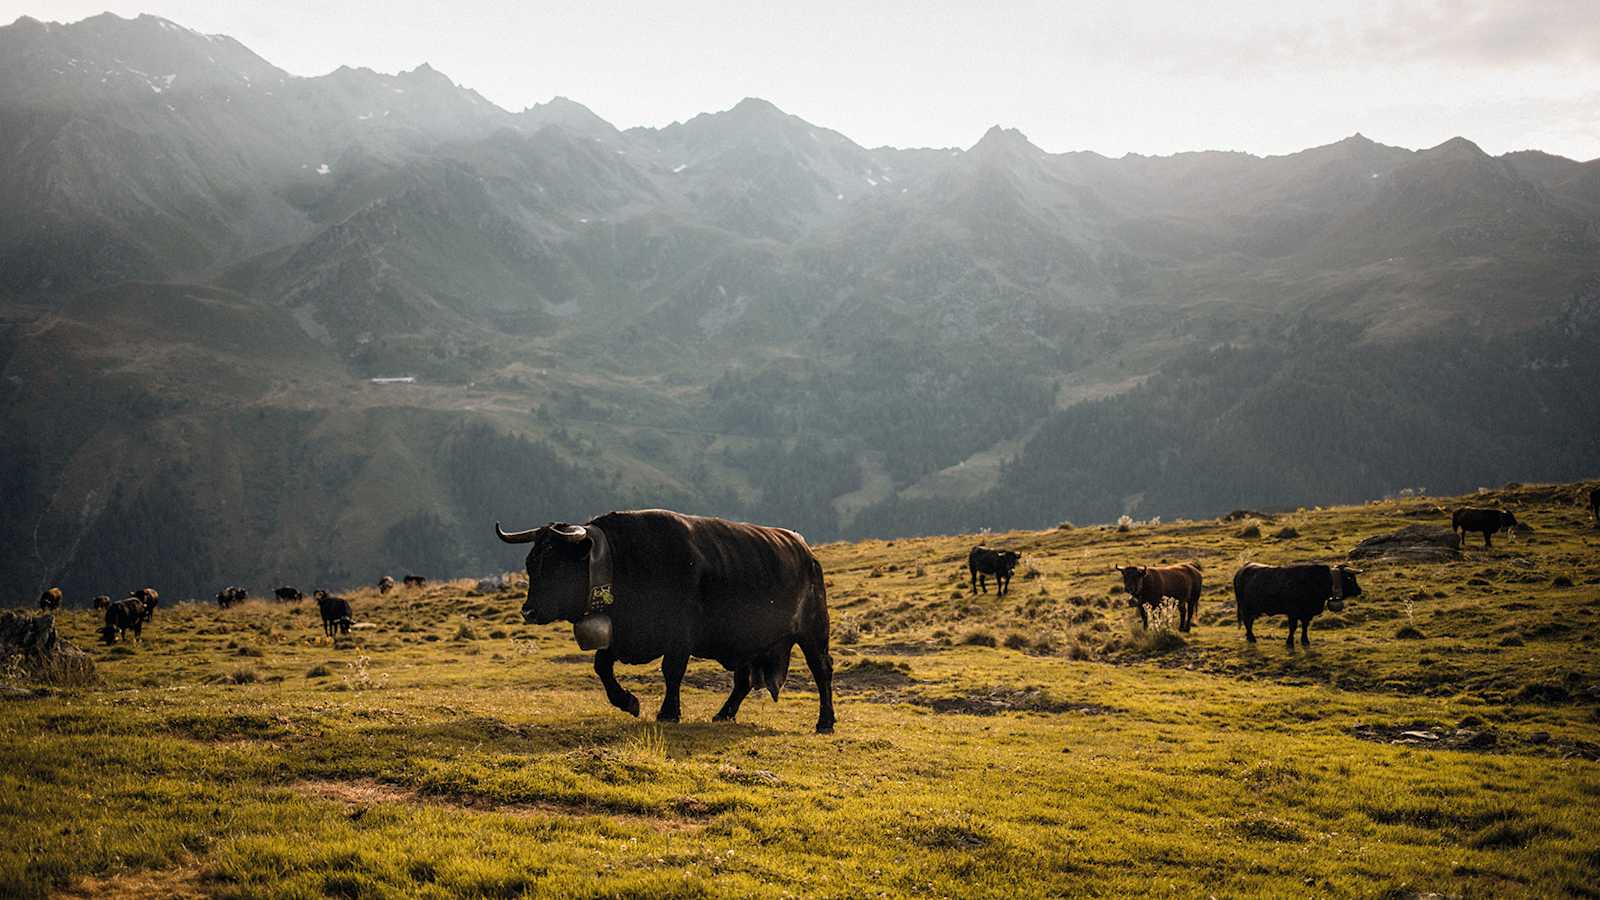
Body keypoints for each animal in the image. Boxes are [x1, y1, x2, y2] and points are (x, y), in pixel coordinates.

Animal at [496, 509, 838, 733]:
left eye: (554, 562)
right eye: (530, 562)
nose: (528, 611)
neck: (623, 561)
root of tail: (806, 551)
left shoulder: (679, 636)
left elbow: (671, 672)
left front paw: (668, 712)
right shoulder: (621, 635)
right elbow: (602, 667)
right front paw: (627, 701)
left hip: (813, 632)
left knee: (822, 672)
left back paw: (825, 722)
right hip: (744, 643)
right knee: (742, 681)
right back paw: (723, 715)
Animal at [1228, 557, 1356, 646]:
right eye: (1349, 578)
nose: (1358, 590)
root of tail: (1241, 570)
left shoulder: (1306, 614)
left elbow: (1304, 626)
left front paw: (1305, 641)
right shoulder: (1293, 613)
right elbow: (1293, 627)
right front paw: (1290, 642)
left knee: (1249, 622)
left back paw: (1249, 637)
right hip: (1246, 608)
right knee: (1247, 621)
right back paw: (1252, 638)